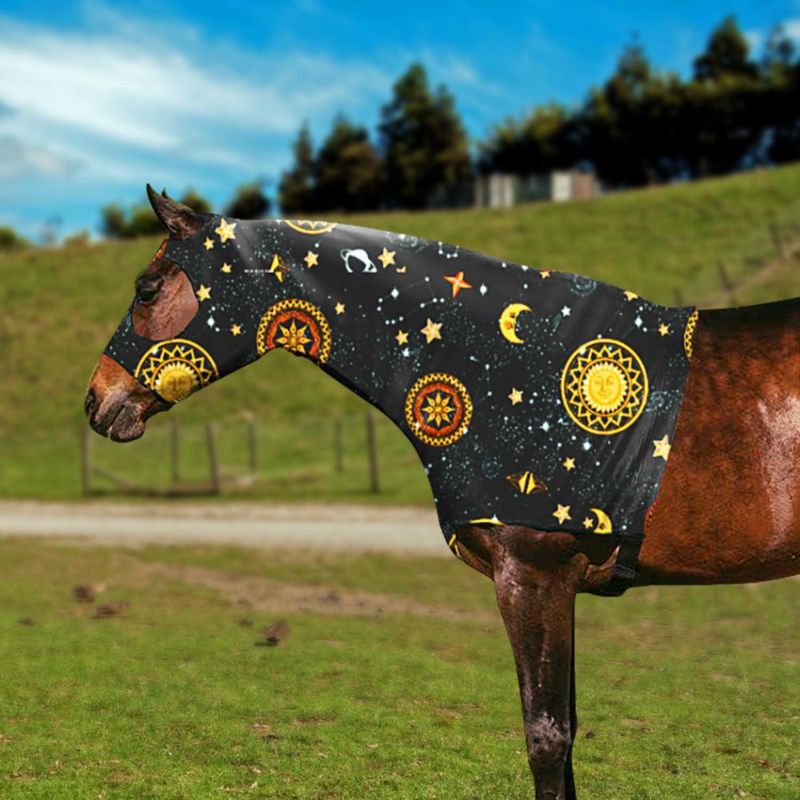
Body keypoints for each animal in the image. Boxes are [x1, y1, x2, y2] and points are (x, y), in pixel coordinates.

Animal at [85, 187, 800, 800]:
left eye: (147, 288)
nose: (97, 401)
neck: (505, 368)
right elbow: (565, 733)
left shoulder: (533, 579)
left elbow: (547, 738)